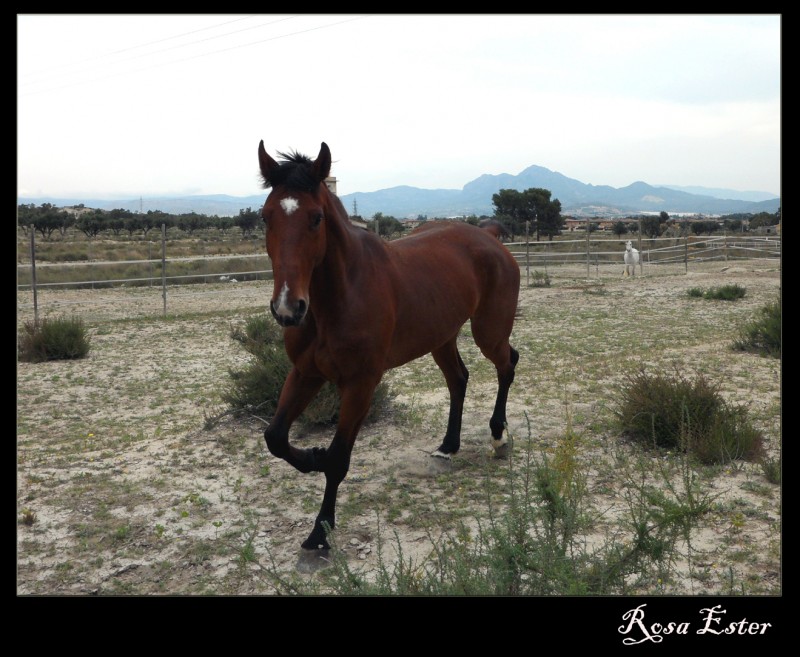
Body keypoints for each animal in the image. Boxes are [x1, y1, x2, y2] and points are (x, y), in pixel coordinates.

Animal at [256, 142, 520, 548]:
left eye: (316, 218)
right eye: (266, 217)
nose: (288, 308)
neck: (340, 296)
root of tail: (488, 235)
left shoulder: (360, 384)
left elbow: (338, 458)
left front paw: (320, 532)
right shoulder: (305, 373)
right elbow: (275, 437)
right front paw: (312, 457)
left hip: (488, 332)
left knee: (507, 365)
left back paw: (498, 436)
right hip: (441, 337)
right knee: (459, 379)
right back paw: (448, 446)